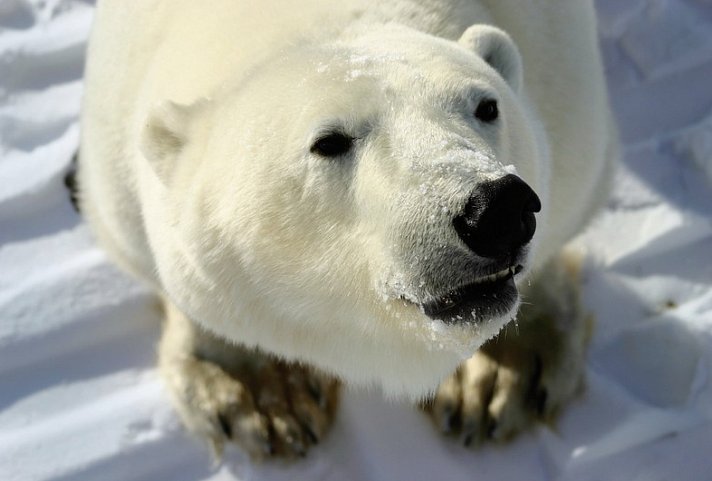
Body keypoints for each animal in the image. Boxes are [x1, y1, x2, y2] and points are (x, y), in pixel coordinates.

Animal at [76, 0, 612, 458]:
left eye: (487, 106)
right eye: (329, 141)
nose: (496, 209)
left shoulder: (562, 82)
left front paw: (501, 375)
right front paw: (263, 392)